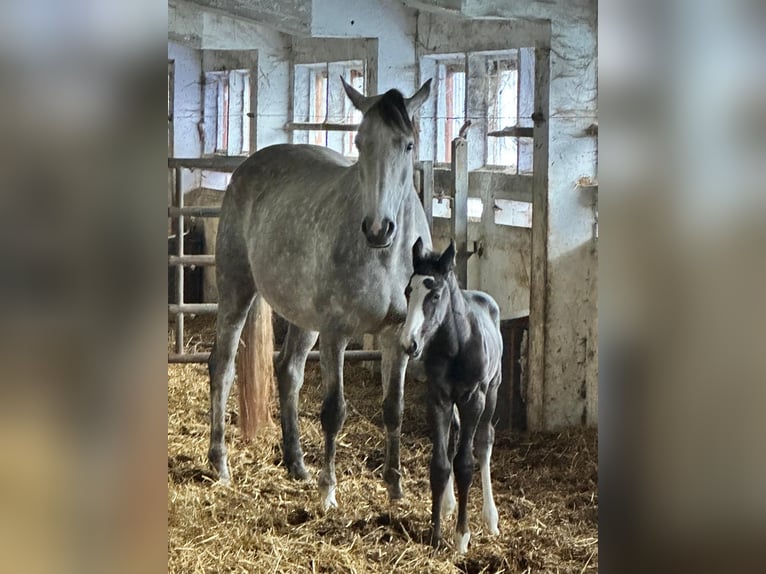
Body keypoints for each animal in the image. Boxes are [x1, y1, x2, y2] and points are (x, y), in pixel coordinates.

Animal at [208, 77, 433, 511]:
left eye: (408, 144)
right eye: (360, 142)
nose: (378, 229)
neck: (386, 257)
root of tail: (249, 166)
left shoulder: (397, 335)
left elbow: (393, 409)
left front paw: (395, 489)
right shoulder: (336, 333)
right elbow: (334, 411)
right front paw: (329, 491)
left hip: (303, 317)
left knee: (289, 372)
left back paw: (296, 463)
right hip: (236, 290)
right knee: (222, 367)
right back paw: (219, 463)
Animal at [400, 238, 503, 553]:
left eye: (435, 295)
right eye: (408, 291)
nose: (409, 344)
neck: (457, 345)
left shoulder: (473, 399)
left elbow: (465, 464)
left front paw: (461, 537)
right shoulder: (439, 398)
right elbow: (440, 464)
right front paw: (435, 534)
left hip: (492, 391)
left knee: (484, 442)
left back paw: (491, 519)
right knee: (454, 436)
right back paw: (447, 505)